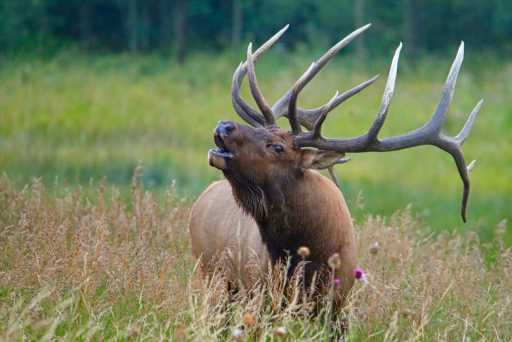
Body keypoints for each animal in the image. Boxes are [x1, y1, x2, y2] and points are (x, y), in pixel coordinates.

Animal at [187, 23, 480, 312]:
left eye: (278, 147)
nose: (224, 125)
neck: (309, 254)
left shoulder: (338, 303)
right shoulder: (260, 293)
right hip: (212, 276)